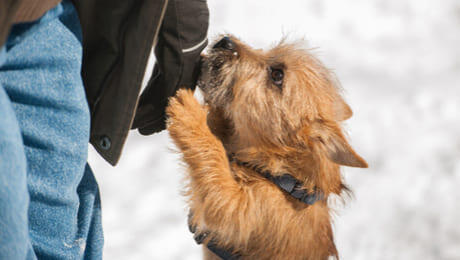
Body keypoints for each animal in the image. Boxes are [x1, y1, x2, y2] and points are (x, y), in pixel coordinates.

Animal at [165, 35, 366, 260]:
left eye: (277, 74)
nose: (225, 41)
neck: (282, 177)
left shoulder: (239, 208)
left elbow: (215, 165)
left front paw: (191, 116)